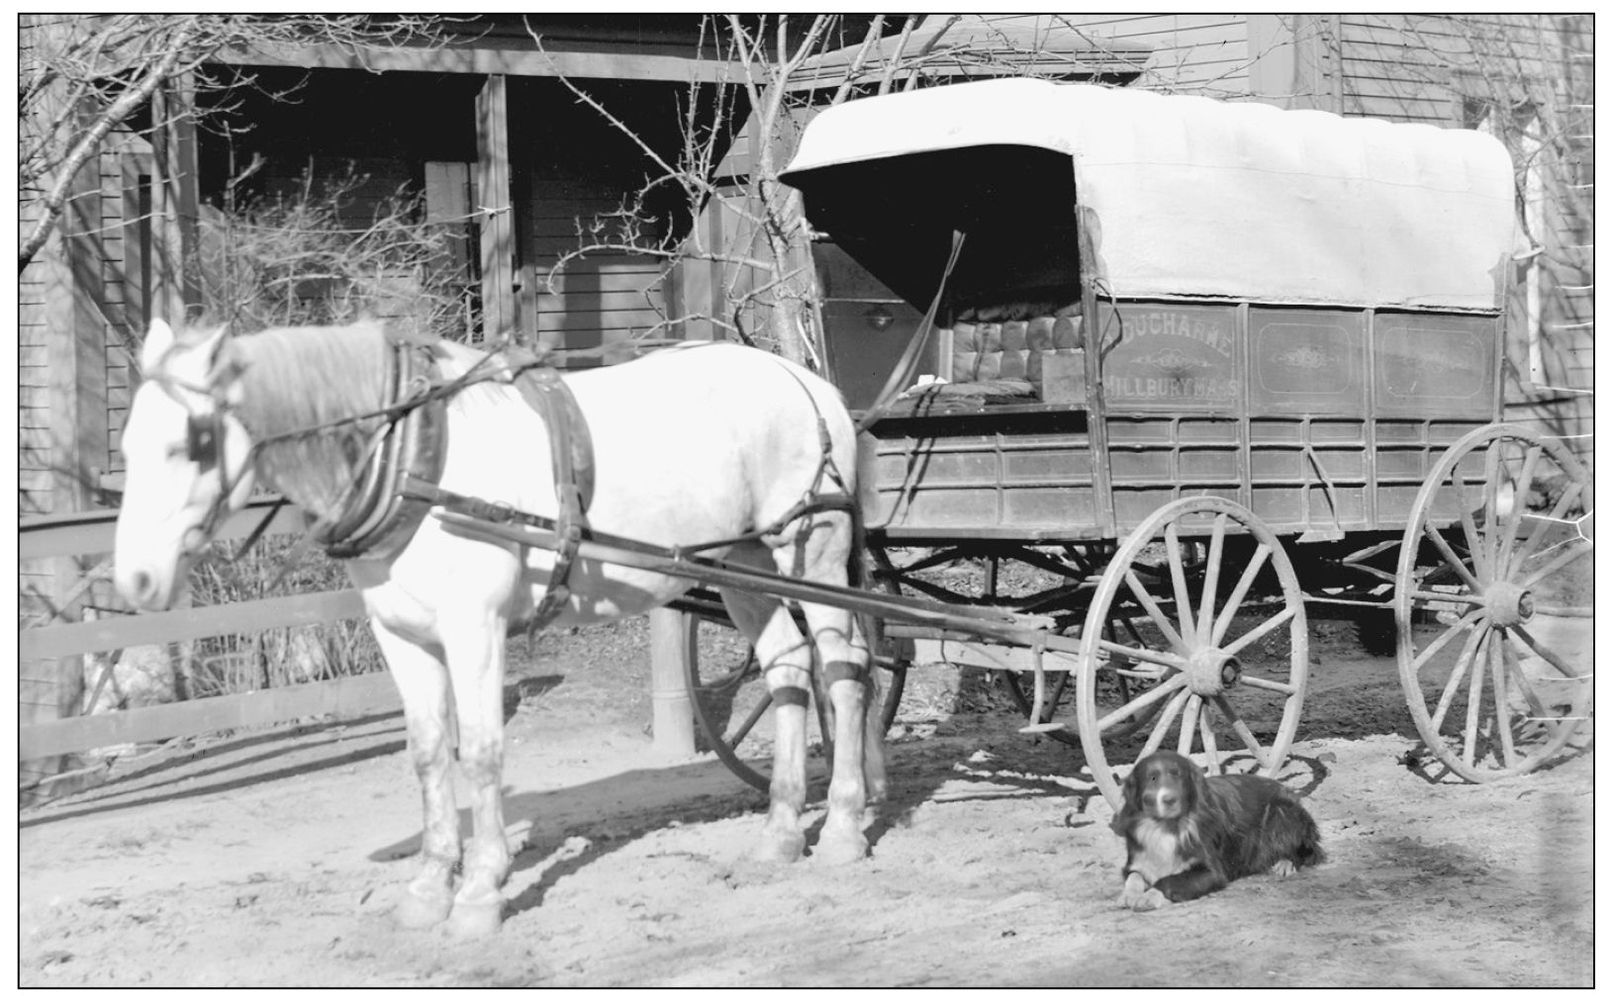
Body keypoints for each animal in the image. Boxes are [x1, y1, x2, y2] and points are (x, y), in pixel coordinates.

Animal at [113, 318, 890, 929]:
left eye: (190, 442)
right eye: (126, 445)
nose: (135, 580)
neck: (419, 464)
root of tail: (806, 381)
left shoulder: (475, 631)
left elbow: (482, 753)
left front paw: (481, 891)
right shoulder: (403, 638)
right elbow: (429, 753)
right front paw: (429, 887)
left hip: (813, 554)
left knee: (845, 671)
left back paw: (843, 827)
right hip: (745, 565)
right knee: (788, 669)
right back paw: (782, 832)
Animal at [1110, 752, 1323, 910]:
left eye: (1179, 777)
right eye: (1152, 778)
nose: (1170, 799)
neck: (1168, 827)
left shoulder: (1212, 873)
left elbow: (1170, 879)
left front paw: (1148, 896)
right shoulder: (1136, 861)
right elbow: (1134, 876)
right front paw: (1128, 895)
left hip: (1280, 812)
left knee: (1306, 851)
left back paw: (1284, 864)